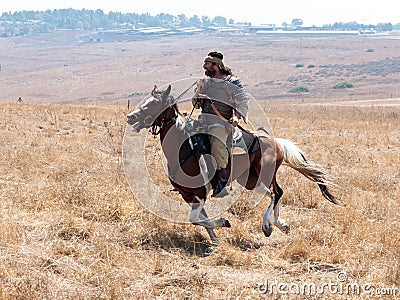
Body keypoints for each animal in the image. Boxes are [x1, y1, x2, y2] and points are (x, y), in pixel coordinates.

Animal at [126, 84, 338, 246]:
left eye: (153, 103)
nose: (131, 117)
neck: (183, 147)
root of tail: (275, 142)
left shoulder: (200, 192)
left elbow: (195, 219)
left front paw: (223, 222)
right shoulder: (188, 195)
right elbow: (200, 219)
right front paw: (215, 240)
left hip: (264, 173)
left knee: (276, 193)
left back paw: (267, 225)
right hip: (251, 179)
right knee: (273, 193)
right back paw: (280, 224)